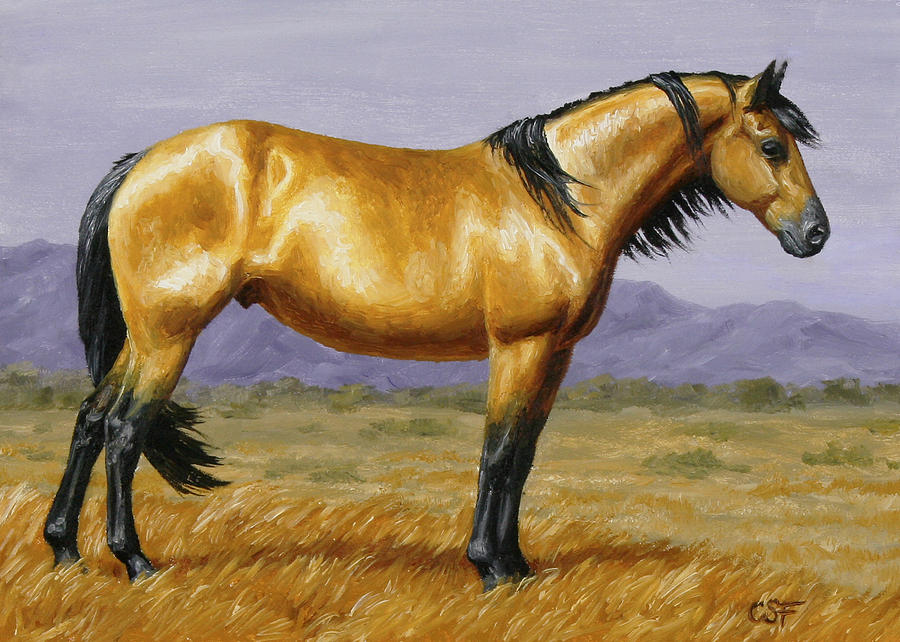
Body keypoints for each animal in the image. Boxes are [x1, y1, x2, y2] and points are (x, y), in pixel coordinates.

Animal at [44, 61, 828, 590]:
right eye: (772, 147)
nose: (815, 234)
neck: (556, 198)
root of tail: (140, 164)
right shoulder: (519, 347)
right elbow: (498, 451)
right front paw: (490, 569)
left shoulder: (557, 355)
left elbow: (523, 458)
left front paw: (518, 564)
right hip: (168, 336)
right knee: (124, 431)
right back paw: (135, 561)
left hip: (143, 339)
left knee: (90, 419)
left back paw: (65, 550)